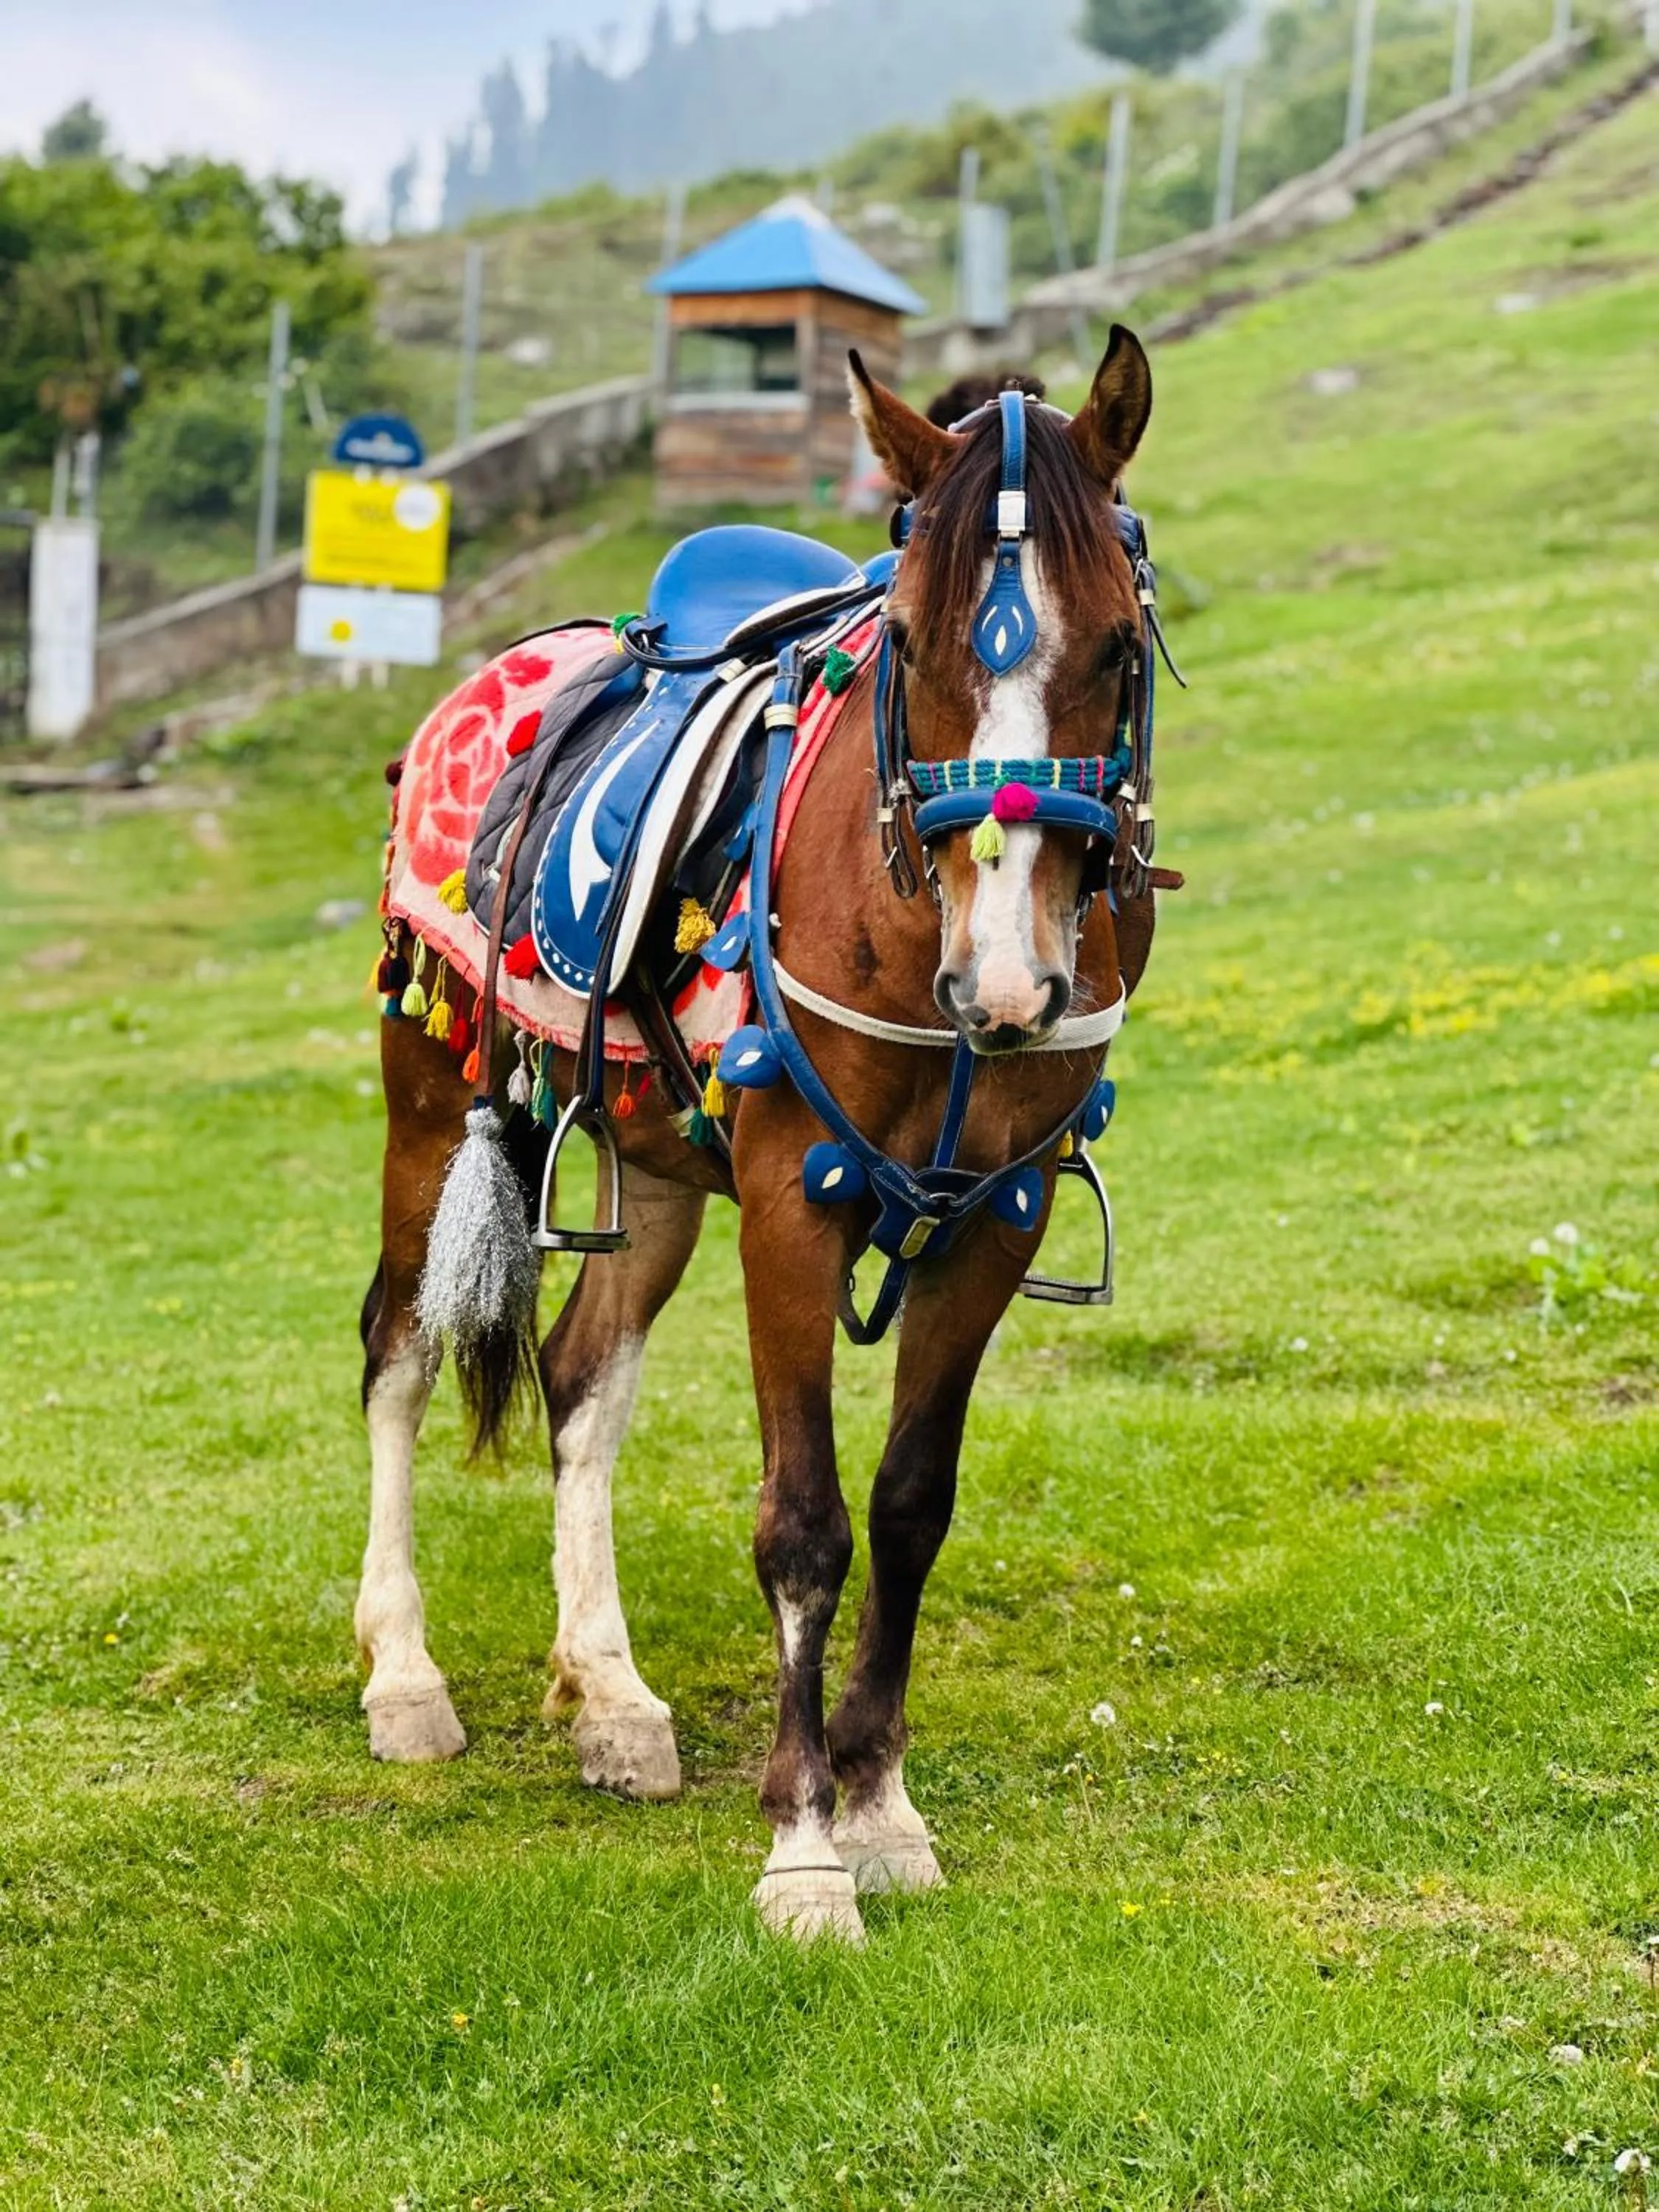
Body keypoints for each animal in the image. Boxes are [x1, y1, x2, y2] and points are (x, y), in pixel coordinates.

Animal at [355, 326, 1168, 1944]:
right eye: (907, 644)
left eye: (1117, 648)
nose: (1008, 979)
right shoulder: (797, 1197)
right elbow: (805, 1522)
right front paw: (803, 1850)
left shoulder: (1000, 1214)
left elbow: (910, 1509)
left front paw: (883, 1808)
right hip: (426, 1097)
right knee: (399, 1355)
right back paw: (404, 1677)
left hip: (660, 1163)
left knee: (581, 1380)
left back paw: (611, 1698)